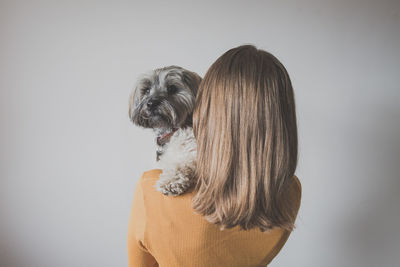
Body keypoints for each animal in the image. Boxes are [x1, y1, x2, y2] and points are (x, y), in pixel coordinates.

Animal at [130, 66, 202, 197]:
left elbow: (181, 164)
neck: (172, 132)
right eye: (147, 90)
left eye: (172, 88)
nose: (151, 103)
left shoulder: (195, 153)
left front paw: (171, 182)